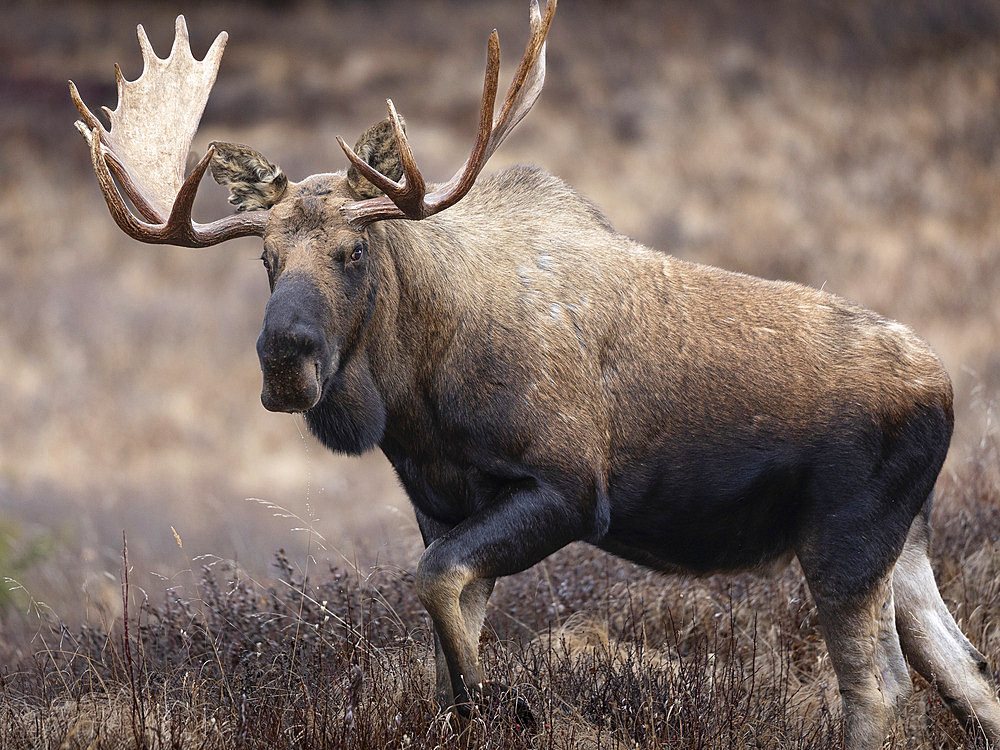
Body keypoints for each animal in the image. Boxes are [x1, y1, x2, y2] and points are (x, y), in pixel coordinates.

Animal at [70, 2, 1000, 748]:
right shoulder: (441, 508)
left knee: (880, 688)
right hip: (904, 540)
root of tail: (945, 389)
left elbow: (440, 593)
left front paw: (506, 703)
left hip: (845, 533)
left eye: (353, 250)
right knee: (969, 677)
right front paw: (479, 705)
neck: (415, 404)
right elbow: (447, 640)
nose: (284, 364)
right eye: (264, 258)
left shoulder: (568, 489)